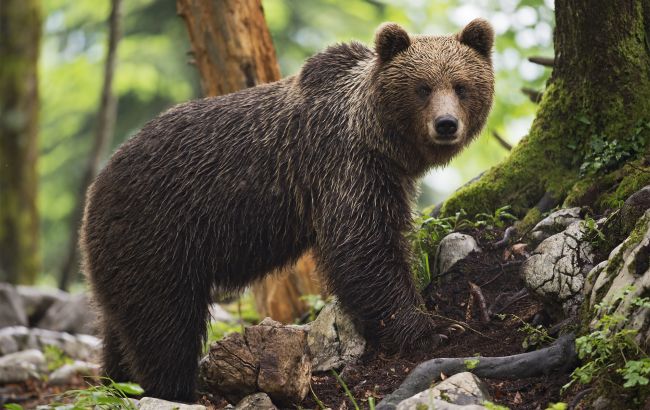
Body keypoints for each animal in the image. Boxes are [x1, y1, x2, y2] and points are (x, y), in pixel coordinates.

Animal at [81, 19, 494, 400]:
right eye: (423, 88)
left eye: (461, 86)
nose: (446, 124)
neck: (378, 137)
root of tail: (96, 187)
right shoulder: (345, 168)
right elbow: (364, 248)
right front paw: (435, 328)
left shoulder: (386, 176)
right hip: (158, 233)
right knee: (165, 324)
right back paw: (176, 388)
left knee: (121, 325)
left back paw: (116, 381)